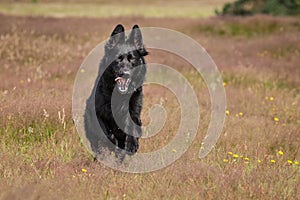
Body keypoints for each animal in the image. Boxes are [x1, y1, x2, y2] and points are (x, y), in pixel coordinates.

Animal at [95, 24, 148, 155]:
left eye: (132, 58)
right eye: (117, 58)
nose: (125, 73)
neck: (119, 95)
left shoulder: (134, 112)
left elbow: (132, 126)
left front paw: (131, 144)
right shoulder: (99, 112)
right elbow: (106, 132)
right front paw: (114, 143)